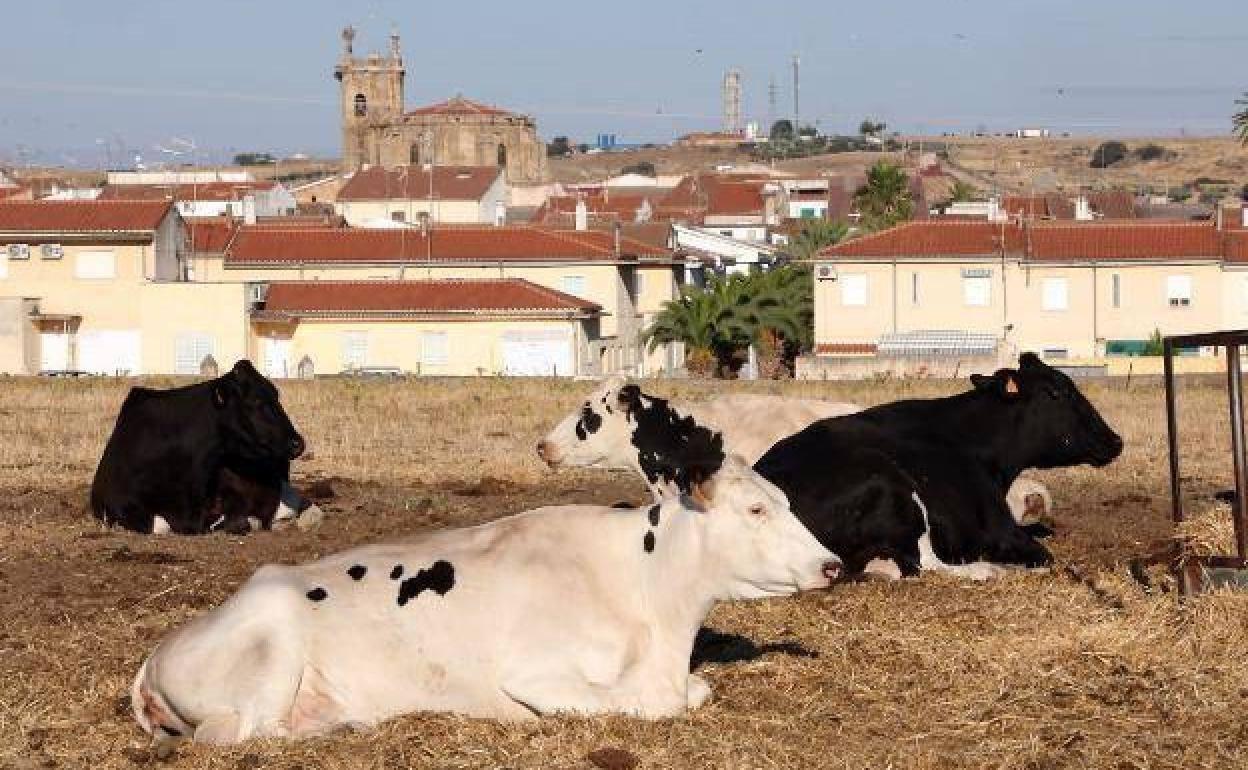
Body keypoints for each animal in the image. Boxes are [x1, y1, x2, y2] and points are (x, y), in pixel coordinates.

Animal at [134, 449, 838, 743]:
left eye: (785, 500)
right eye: (755, 509)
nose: (831, 565)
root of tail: (159, 652)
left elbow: (697, 689)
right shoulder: (536, 673)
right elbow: (654, 703)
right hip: (272, 646)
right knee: (243, 733)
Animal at [753, 351, 1128, 576]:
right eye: (1057, 392)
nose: (1115, 440)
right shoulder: (1000, 528)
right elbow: (1042, 554)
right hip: (892, 484)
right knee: (925, 564)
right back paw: (986, 570)